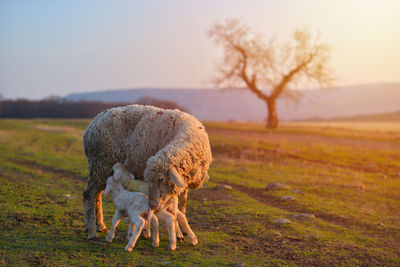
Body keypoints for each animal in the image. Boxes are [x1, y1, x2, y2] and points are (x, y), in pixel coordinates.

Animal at [82, 104, 212, 241]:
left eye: (161, 179)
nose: (152, 205)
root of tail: (91, 125)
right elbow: (175, 209)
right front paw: (178, 233)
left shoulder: (183, 183)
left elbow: (182, 205)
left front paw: (181, 231)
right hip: (100, 164)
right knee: (89, 193)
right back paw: (92, 231)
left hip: (102, 169)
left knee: (97, 194)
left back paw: (100, 225)